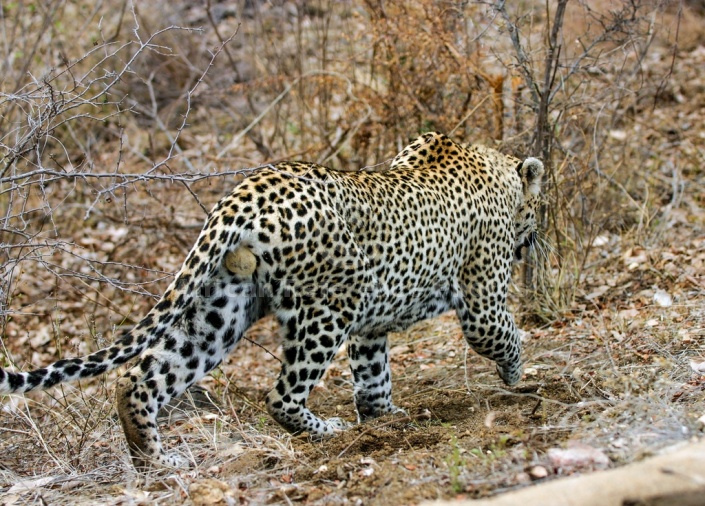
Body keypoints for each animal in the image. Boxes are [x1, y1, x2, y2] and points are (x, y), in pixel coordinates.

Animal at [0, 131, 544, 470]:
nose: (536, 236)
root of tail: (244, 194)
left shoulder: (370, 327)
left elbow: (373, 376)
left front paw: (384, 419)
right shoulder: (481, 298)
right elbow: (503, 334)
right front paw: (518, 376)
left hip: (219, 311)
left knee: (140, 378)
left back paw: (156, 460)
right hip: (330, 306)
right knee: (281, 395)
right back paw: (327, 430)